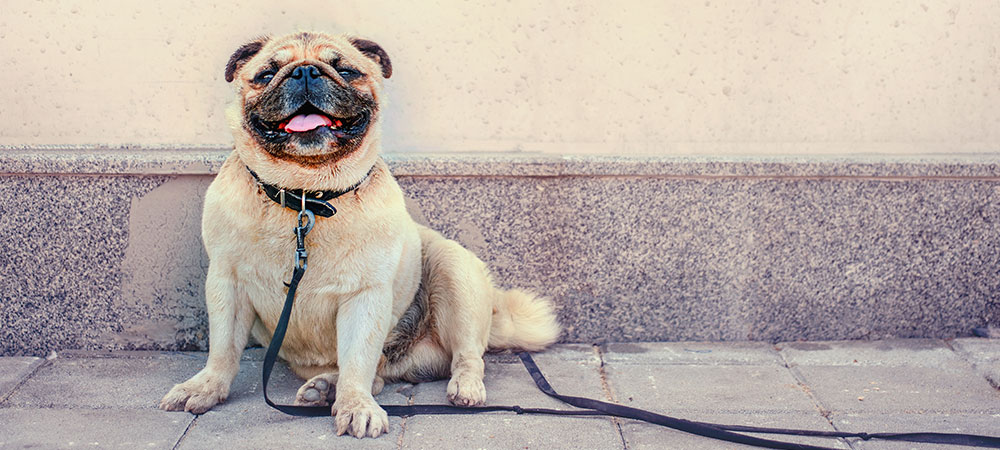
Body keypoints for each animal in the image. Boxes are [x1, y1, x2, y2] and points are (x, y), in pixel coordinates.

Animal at [160, 32, 560, 440]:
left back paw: (463, 387)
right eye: (267, 74)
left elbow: (357, 359)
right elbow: (223, 350)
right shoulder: (227, 284)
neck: (305, 197)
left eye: (347, 70)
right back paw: (325, 388)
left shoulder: (364, 296)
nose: (305, 71)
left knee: (462, 356)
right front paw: (206, 387)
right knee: (378, 375)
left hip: (455, 272)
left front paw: (355, 406)